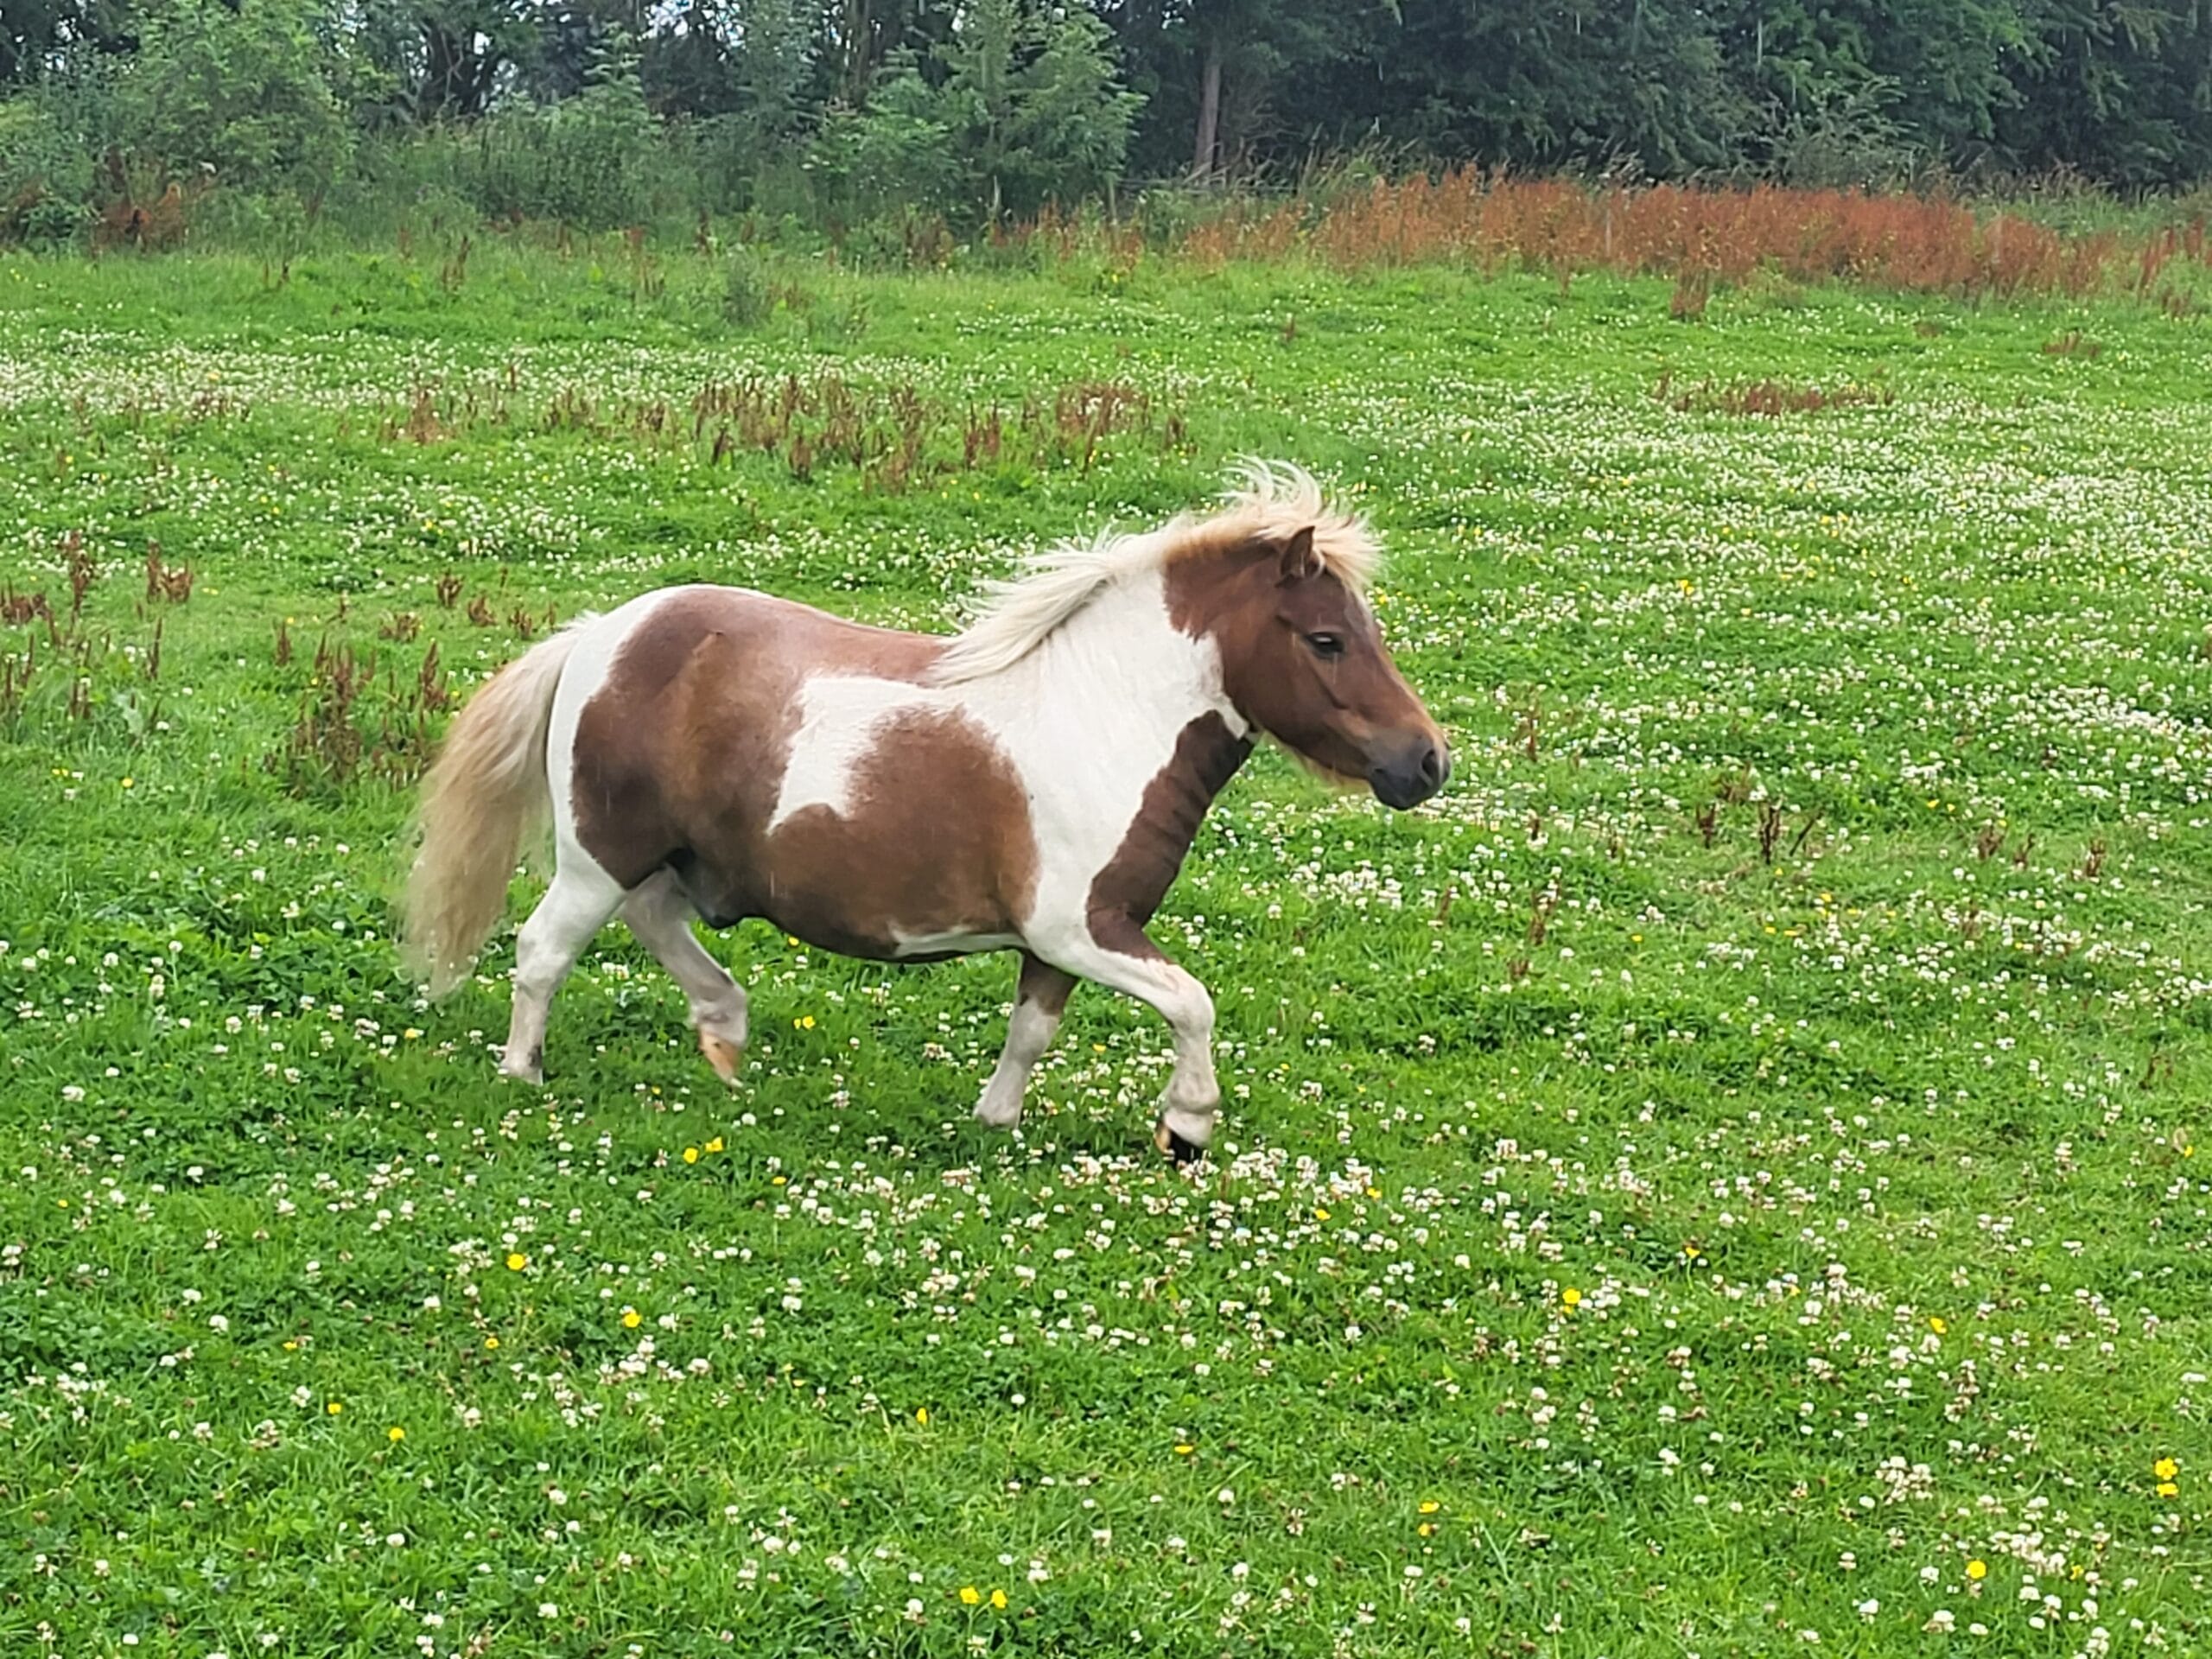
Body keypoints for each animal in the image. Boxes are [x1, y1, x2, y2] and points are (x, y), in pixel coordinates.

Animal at [402, 462, 1451, 1159]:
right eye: (1325, 639)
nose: (1426, 763)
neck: (1107, 714)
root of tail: (600, 633)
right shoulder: (1083, 927)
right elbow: (1193, 1003)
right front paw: (1185, 1125)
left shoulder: (1061, 945)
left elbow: (1032, 1031)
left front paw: (996, 1119)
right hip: (599, 853)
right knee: (545, 951)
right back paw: (524, 1073)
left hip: (675, 857)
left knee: (658, 925)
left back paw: (727, 1037)